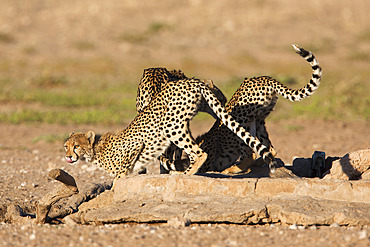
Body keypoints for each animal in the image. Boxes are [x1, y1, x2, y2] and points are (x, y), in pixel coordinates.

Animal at [64, 78, 278, 189]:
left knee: (200, 152)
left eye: (76, 146)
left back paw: (187, 173)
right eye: (66, 146)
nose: (68, 156)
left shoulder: (134, 146)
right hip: (198, 111)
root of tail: (193, 81)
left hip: (171, 125)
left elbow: (120, 174)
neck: (95, 150)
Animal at [160, 44, 322, 174]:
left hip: (241, 119)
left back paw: (231, 169)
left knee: (250, 154)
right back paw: (259, 162)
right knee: (270, 150)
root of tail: (264, 78)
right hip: (259, 120)